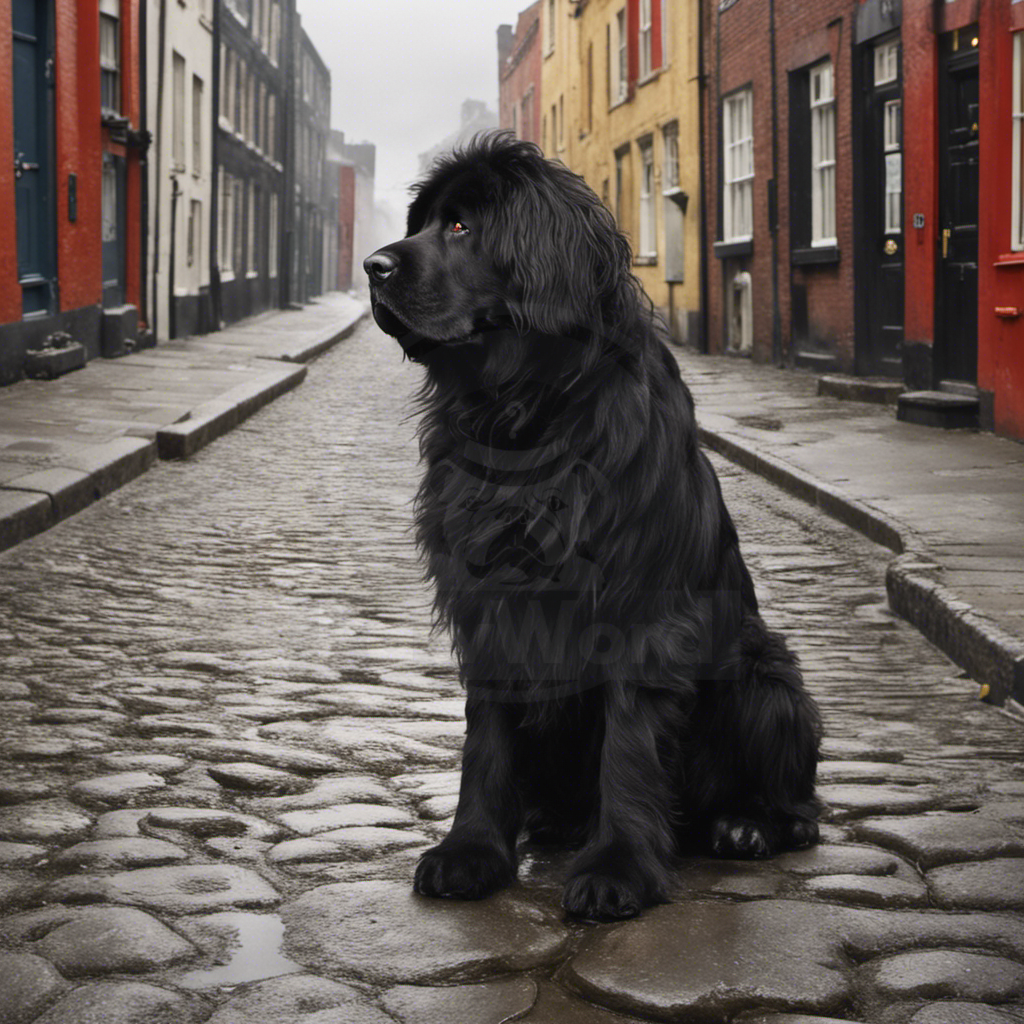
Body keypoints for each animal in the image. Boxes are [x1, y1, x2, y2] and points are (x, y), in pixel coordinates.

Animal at [364, 130, 819, 921]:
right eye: (428, 222)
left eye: (464, 226)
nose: (372, 266)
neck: (524, 415)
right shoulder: (488, 606)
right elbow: (486, 742)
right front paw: (471, 850)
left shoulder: (639, 610)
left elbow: (628, 749)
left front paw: (619, 867)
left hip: (766, 676)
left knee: (801, 808)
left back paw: (744, 826)